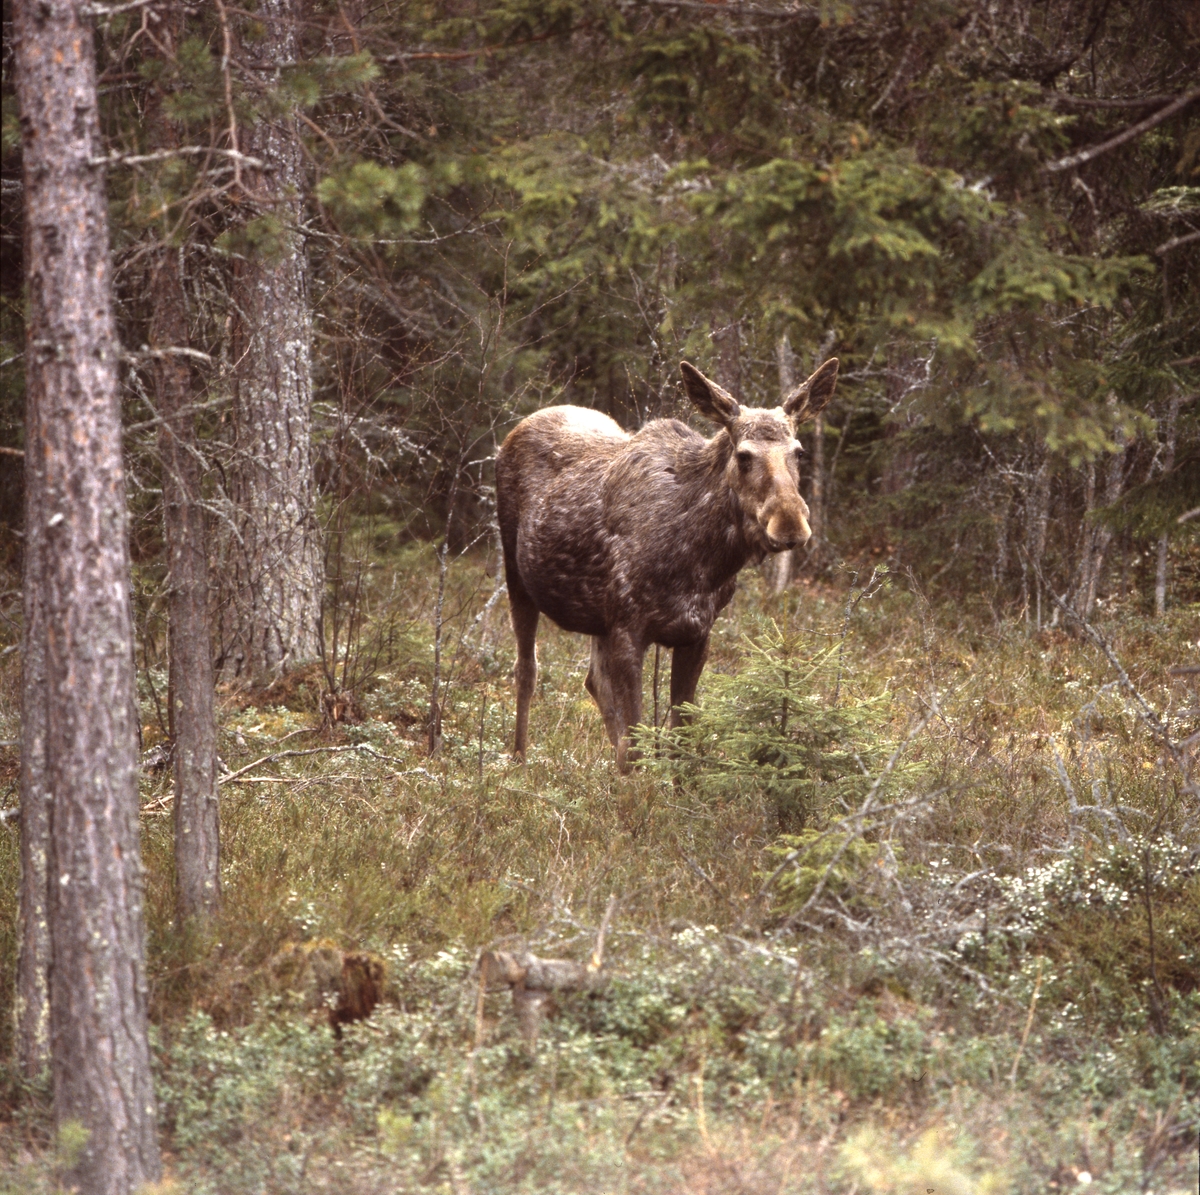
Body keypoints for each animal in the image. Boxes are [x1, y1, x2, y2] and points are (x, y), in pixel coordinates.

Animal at [492, 355, 840, 767]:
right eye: (744, 455)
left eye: (799, 452)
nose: (789, 524)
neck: (702, 561)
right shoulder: (628, 629)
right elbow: (639, 744)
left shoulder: (696, 633)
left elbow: (681, 742)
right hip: (516, 574)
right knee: (526, 669)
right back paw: (518, 759)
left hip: (596, 617)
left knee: (593, 680)